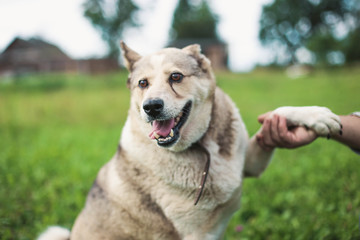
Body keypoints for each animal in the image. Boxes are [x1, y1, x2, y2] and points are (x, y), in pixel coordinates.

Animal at [38, 42, 340, 239]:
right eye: (143, 84)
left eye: (176, 77)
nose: (151, 107)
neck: (203, 146)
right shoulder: (195, 235)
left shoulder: (251, 162)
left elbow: (279, 112)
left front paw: (317, 116)